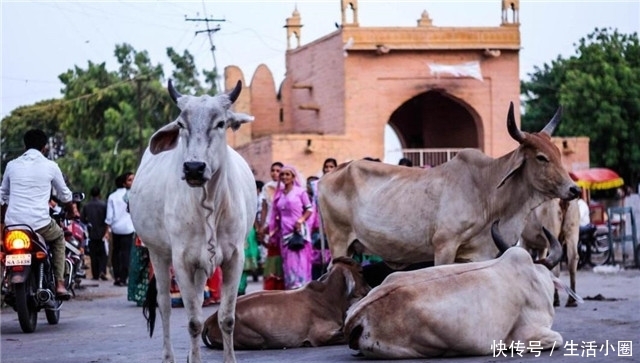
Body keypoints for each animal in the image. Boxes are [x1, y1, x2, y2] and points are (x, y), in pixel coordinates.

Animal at [129, 80, 256, 363]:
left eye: (220, 123)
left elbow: (227, 319)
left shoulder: (234, 258)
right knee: (165, 305)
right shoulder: (182, 260)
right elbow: (194, 322)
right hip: (158, 253)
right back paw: (169, 356)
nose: (194, 168)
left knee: (197, 299)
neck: (208, 205)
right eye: (181, 124)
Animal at [200, 258, 370, 352]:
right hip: (256, 339)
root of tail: (210, 319)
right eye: (361, 271)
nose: (369, 288)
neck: (328, 297)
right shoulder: (321, 336)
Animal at [318, 102, 580, 268]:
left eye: (558, 153)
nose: (574, 189)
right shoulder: (444, 246)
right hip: (338, 242)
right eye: (541, 157)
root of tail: (332, 174)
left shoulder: (482, 253)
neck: (486, 191)